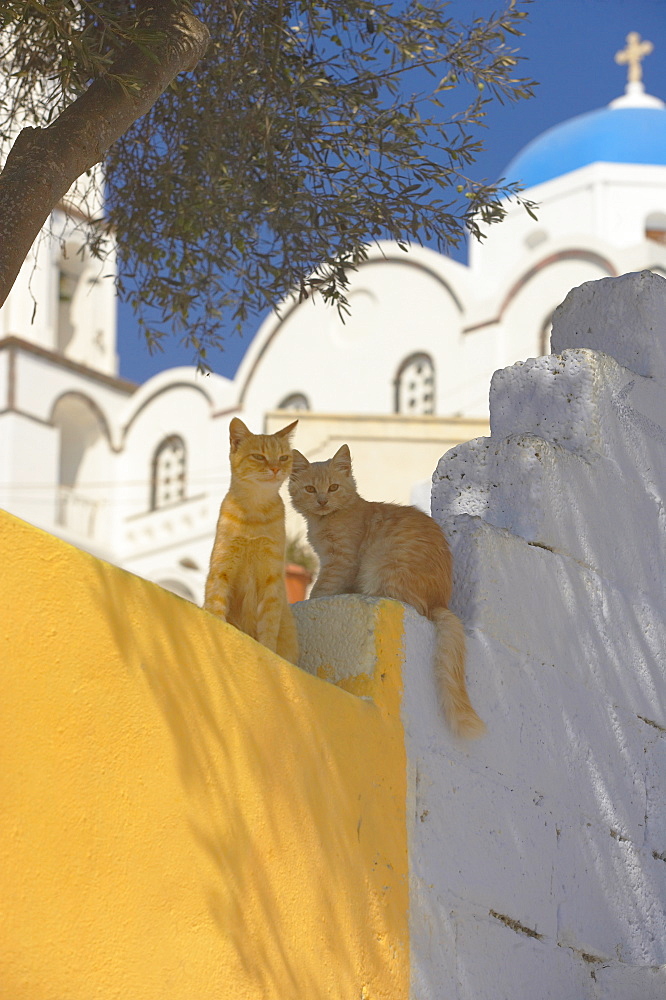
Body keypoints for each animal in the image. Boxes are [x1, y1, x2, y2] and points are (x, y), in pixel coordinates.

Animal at [201, 418, 296, 668]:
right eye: (259, 456)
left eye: (283, 457)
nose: (276, 468)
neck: (254, 513)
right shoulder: (221, 569)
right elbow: (216, 606)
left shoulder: (271, 579)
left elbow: (269, 627)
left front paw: (268, 653)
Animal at [290, 446, 482, 736]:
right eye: (311, 489)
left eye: (333, 487)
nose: (322, 501)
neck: (325, 521)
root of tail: (440, 601)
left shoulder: (342, 562)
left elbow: (322, 589)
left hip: (385, 566)